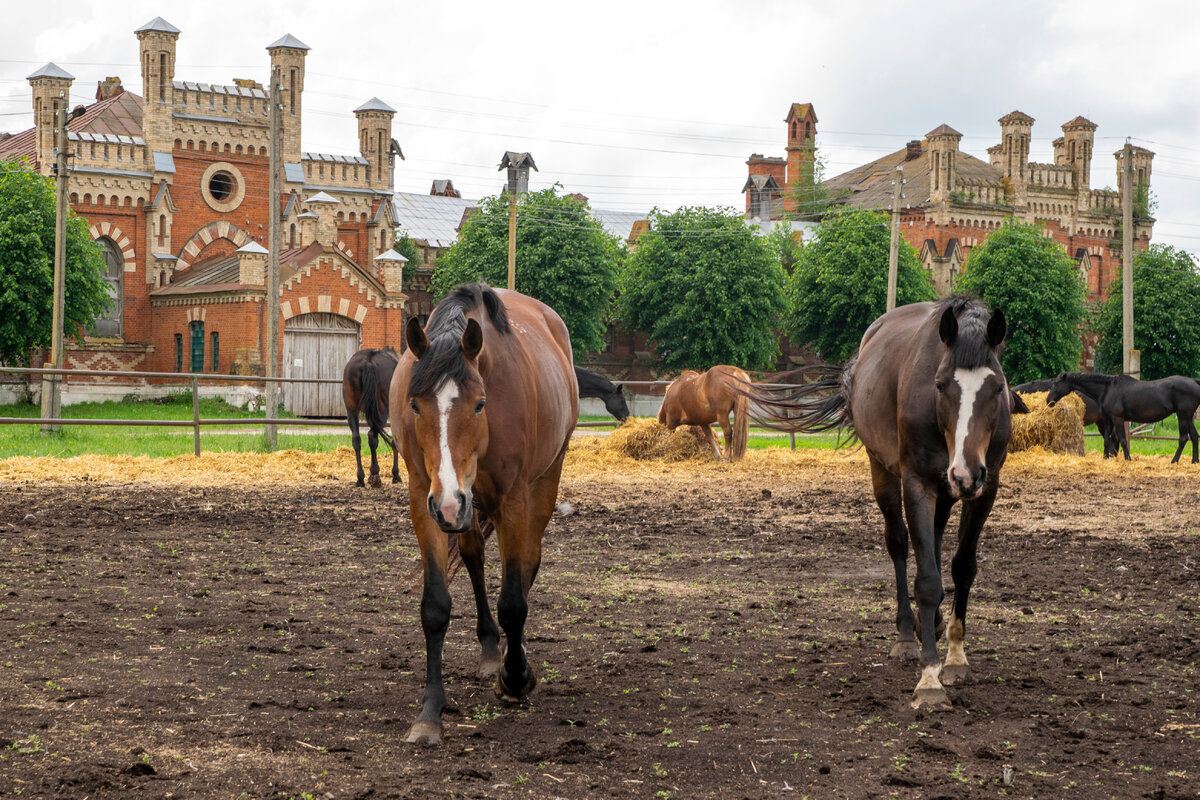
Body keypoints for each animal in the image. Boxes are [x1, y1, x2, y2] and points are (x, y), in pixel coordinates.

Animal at [343, 345, 403, 489]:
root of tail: (368, 361)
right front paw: (395, 474)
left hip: (352, 409)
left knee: (357, 439)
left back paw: (361, 477)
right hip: (382, 409)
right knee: (372, 436)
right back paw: (375, 474)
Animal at [388, 284, 576, 748]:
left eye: (479, 404)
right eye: (414, 406)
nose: (449, 502)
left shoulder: (512, 498)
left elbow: (513, 601)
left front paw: (516, 678)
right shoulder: (425, 499)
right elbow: (435, 607)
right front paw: (430, 714)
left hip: (540, 482)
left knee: (528, 562)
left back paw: (511, 659)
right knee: (474, 555)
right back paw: (493, 649)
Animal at [753, 297, 1017, 710]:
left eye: (998, 386)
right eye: (940, 385)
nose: (966, 472)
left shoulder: (986, 488)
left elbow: (962, 568)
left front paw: (956, 657)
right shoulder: (916, 483)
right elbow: (927, 580)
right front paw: (929, 677)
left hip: (947, 490)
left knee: (935, 542)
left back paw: (933, 624)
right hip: (887, 474)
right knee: (899, 543)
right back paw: (909, 633)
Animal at [1041, 374, 1200, 462]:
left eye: (1056, 384)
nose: (1048, 400)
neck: (1107, 389)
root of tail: (1195, 382)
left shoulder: (1118, 418)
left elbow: (1122, 440)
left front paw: (1127, 459)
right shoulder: (1108, 419)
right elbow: (1107, 440)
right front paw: (1106, 458)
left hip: (1183, 415)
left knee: (1183, 438)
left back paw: (1174, 460)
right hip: (1188, 417)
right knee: (1194, 436)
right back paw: (1194, 461)